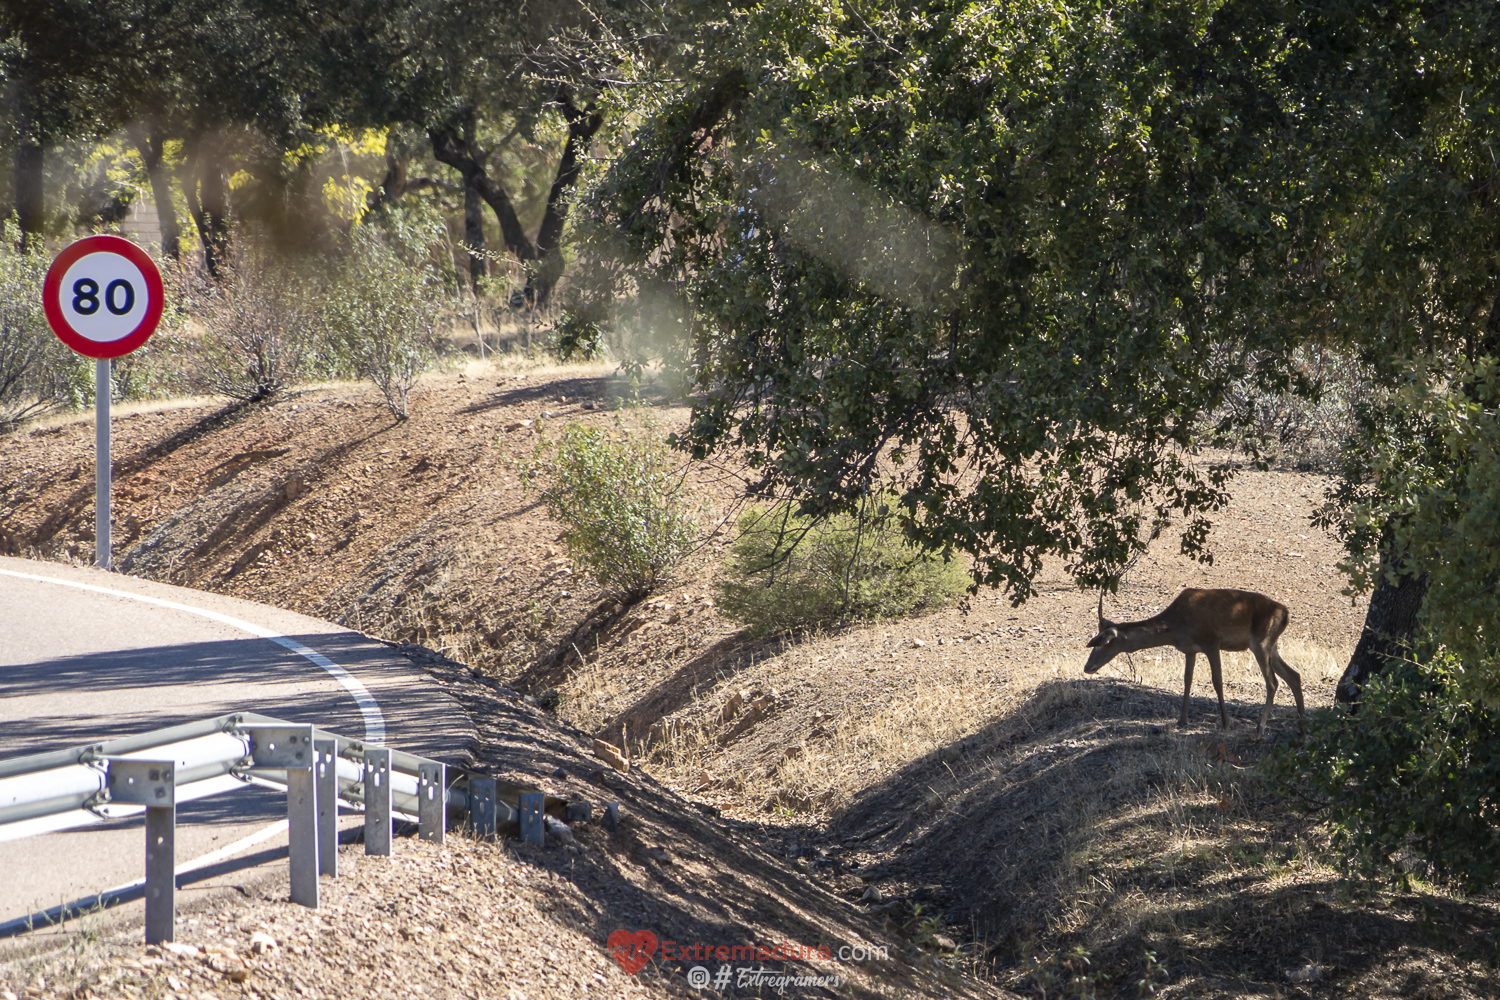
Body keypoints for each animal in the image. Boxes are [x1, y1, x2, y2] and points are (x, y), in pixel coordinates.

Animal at [1086, 587, 1308, 734]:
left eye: (1101, 643)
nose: (1087, 667)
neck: (1176, 628)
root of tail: (1286, 614)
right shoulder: (1190, 650)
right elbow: (1187, 680)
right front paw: (1182, 721)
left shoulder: (1212, 641)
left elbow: (1217, 681)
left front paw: (1226, 723)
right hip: (1273, 645)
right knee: (1294, 675)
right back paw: (1301, 724)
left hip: (1261, 642)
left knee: (1273, 682)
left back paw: (1260, 727)